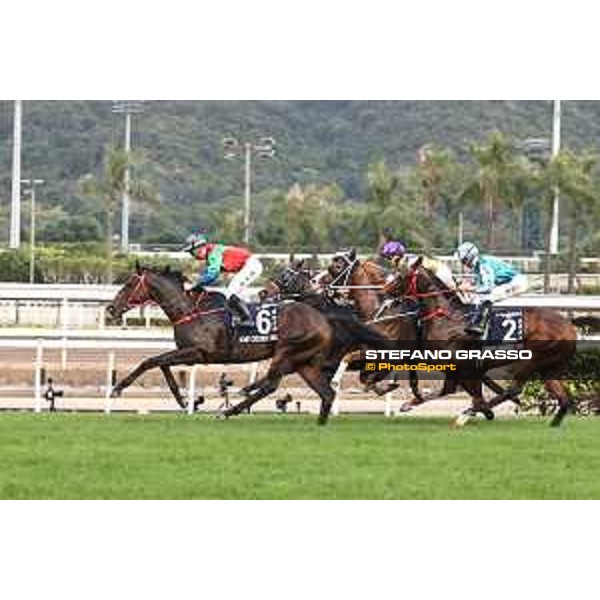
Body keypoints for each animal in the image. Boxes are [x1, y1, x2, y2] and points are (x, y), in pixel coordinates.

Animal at [104, 264, 384, 426]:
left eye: (129, 284)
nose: (110, 309)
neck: (190, 310)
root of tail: (324, 316)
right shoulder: (189, 353)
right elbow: (161, 364)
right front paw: (185, 401)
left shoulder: (200, 352)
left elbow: (150, 361)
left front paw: (117, 388)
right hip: (304, 362)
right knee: (326, 393)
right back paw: (319, 423)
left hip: (286, 352)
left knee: (272, 384)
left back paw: (230, 409)